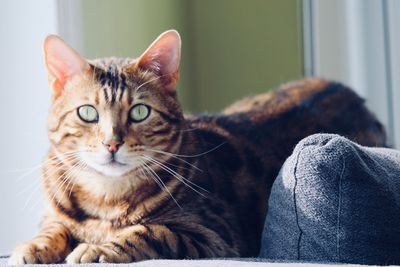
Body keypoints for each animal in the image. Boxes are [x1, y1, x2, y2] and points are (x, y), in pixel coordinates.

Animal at [8, 29, 384, 266]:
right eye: (87, 113)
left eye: (139, 112)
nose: (112, 143)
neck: (106, 200)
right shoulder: (54, 214)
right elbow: (53, 228)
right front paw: (33, 246)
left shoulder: (214, 233)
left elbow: (147, 231)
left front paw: (95, 249)